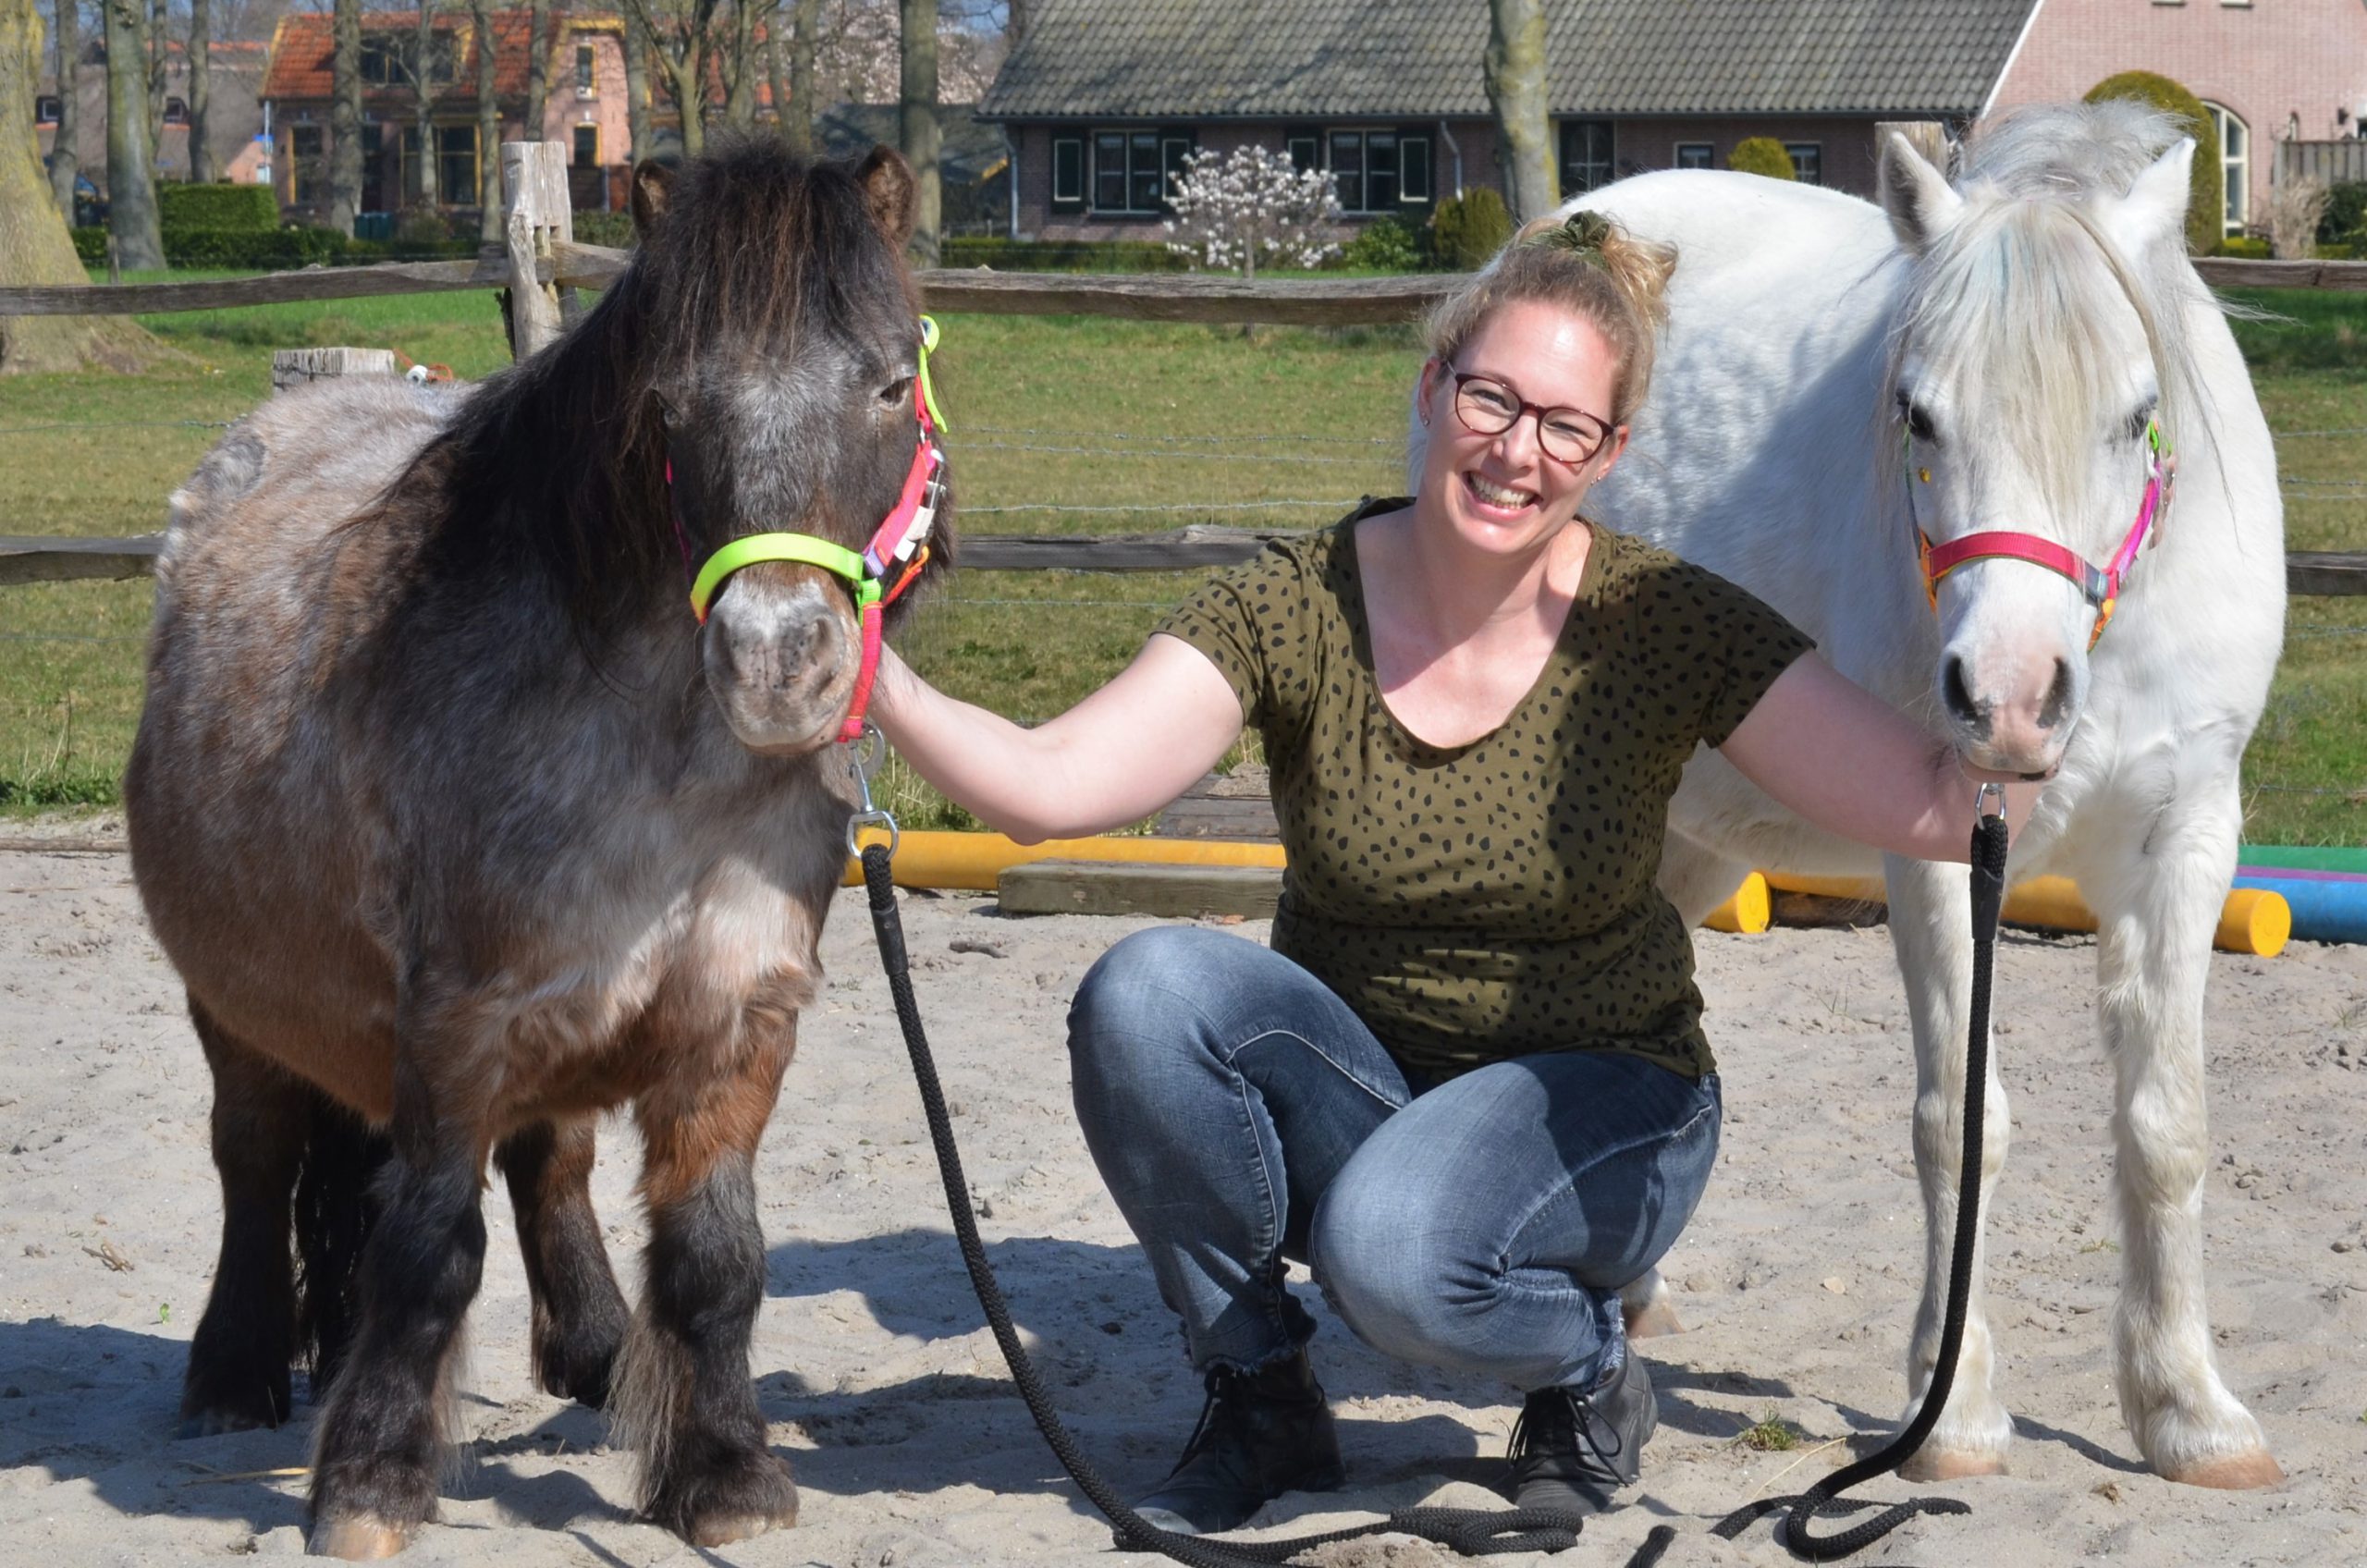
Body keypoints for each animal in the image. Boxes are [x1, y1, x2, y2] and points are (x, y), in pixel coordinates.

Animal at [122, 141, 951, 1562]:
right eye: (669, 402)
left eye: (891, 382)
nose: (778, 662)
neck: (661, 765)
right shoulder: (457, 1022)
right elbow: (426, 1251)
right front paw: (372, 1483)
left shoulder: (735, 1017)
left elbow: (715, 1254)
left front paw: (722, 1473)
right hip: (238, 995)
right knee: (255, 1153)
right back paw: (232, 1373)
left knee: (549, 1160)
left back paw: (599, 1352)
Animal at [1429, 104, 2281, 1497]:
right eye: (1916, 415)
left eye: (2138, 414)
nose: (2009, 698)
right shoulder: (1933, 856)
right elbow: (1959, 1123)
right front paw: (1958, 1408)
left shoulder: (2186, 837)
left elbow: (2167, 1122)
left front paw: (2188, 1408)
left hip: (1688, 839)